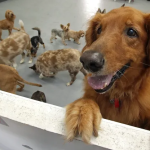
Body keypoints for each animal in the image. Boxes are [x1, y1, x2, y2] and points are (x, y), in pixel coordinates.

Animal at [65, 5, 150, 144]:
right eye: (99, 29)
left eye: (131, 32)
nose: (87, 61)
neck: (117, 95)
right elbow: (87, 99)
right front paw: (82, 112)